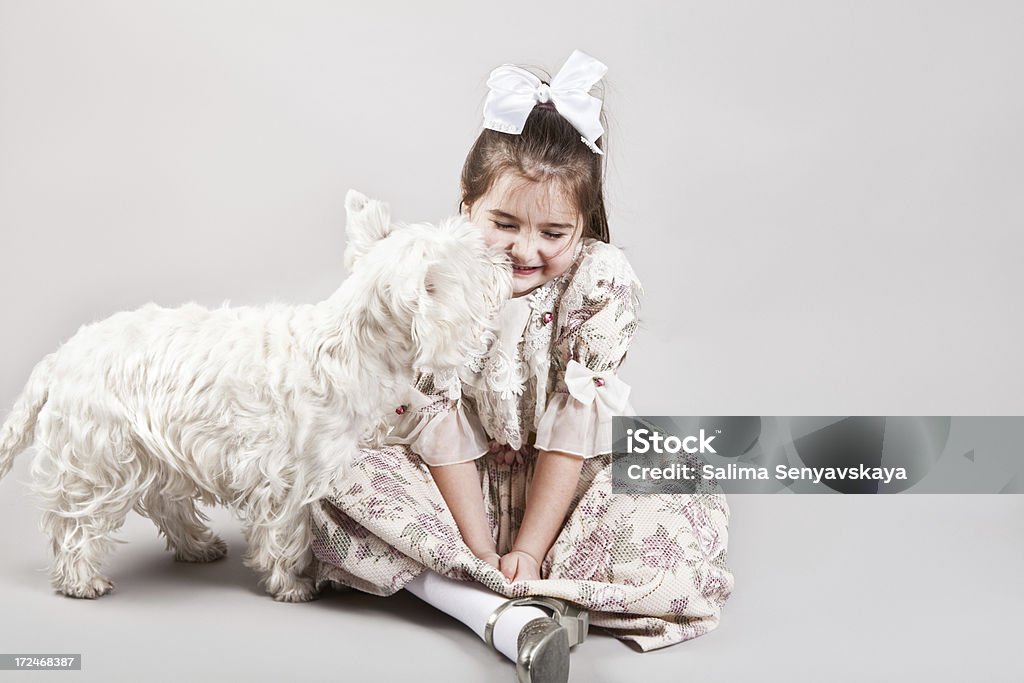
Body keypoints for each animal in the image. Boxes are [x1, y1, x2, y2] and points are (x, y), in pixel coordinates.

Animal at [0, 189, 512, 602]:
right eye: (474, 262)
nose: (506, 261)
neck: (355, 348)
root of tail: (58, 359)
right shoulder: (289, 476)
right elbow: (286, 533)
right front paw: (294, 584)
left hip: (155, 453)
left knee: (166, 503)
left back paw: (199, 546)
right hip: (100, 460)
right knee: (76, 522)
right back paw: (81, 581)